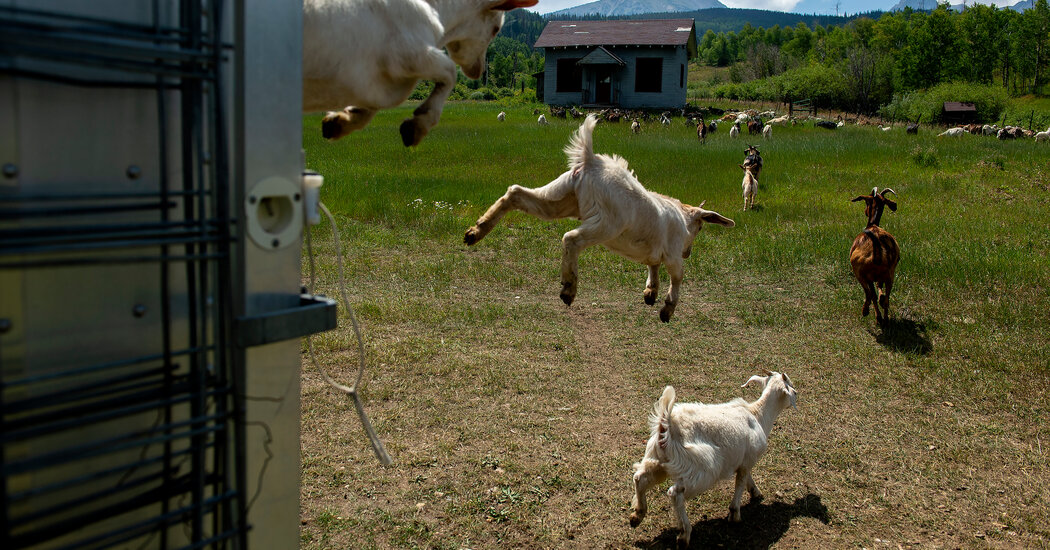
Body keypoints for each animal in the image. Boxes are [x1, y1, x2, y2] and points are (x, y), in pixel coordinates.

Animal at [302, 0, 533, 145]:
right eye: (496, 29)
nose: (479, 71)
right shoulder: (408, 56)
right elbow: (450, 73)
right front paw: (418, 125)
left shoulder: (370, 81)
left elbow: (367, 107)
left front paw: (341, 122)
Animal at [625, 371, 797, 545]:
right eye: (792, 389)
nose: (796, 395)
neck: (758, 415)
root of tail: (666, 425)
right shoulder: (747, 461)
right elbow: (740, 483)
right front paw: (735, 514)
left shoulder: (744, 461)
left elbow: (747, 478)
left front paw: (756, 493)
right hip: (702, 470)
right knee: (675, 493)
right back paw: (684, 534)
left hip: (656, 461)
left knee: (639, 478)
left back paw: (637, 515)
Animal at [848, 187, 898, 323]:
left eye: (866, 202)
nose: (865, 212)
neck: (872, 224)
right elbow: (880, 290)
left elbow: (872, 293)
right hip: (890, 274)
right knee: (886, 298)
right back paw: (885, 317)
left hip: (860, 272)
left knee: (869, 293)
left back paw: (869, 312)